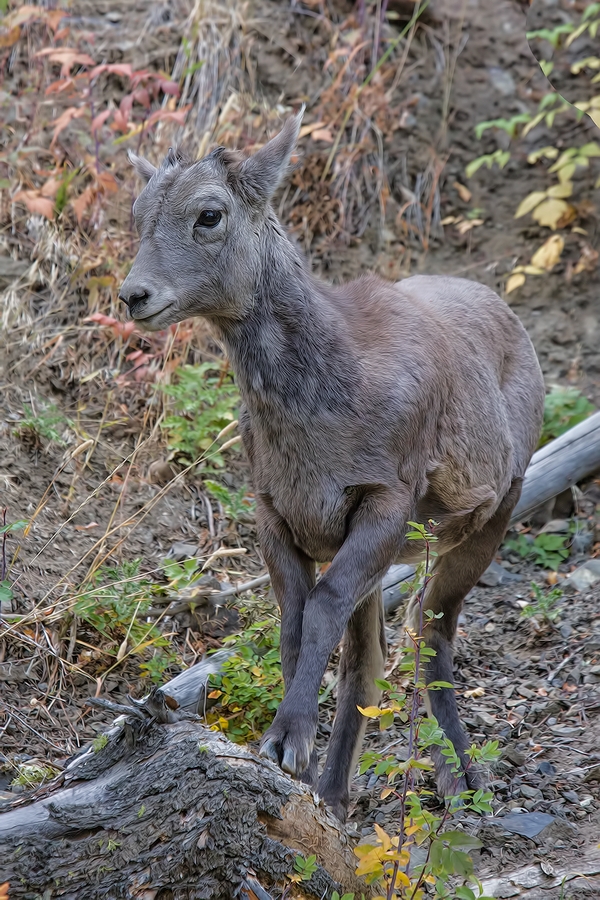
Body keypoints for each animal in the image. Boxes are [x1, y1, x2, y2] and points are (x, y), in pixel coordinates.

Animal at [119, 112, 548, 824]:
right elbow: (298, 630)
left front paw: (285, 742)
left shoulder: (385, 500)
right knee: (370, 660)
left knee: (430, 630)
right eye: (139, 213)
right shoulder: (277, 516)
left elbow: (319, 613)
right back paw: (336, 796)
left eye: (209, 214)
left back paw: (462, 779)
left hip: (493, 514)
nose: (134, 296)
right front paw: (296, 767)